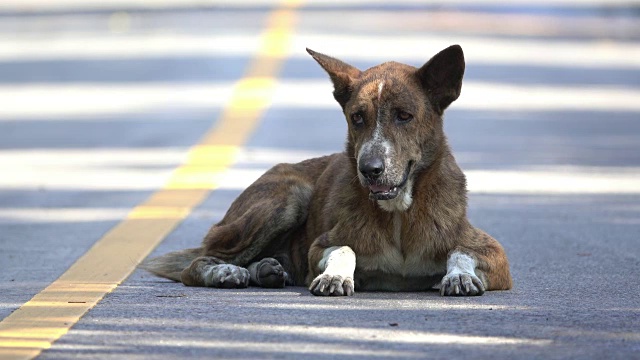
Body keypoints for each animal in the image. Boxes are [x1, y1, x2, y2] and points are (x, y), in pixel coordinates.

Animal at [142, 44, 512, 296]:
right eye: (357, 117)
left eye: (404, 116)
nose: (369, 169)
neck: (398, 216)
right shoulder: (320, 246)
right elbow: (344, 248)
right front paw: (335, 275)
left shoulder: (497, 256)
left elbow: (461, 251)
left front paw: (460, 275)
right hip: (289, 196)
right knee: (200, 261)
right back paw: (228, 272)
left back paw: (266, 269)